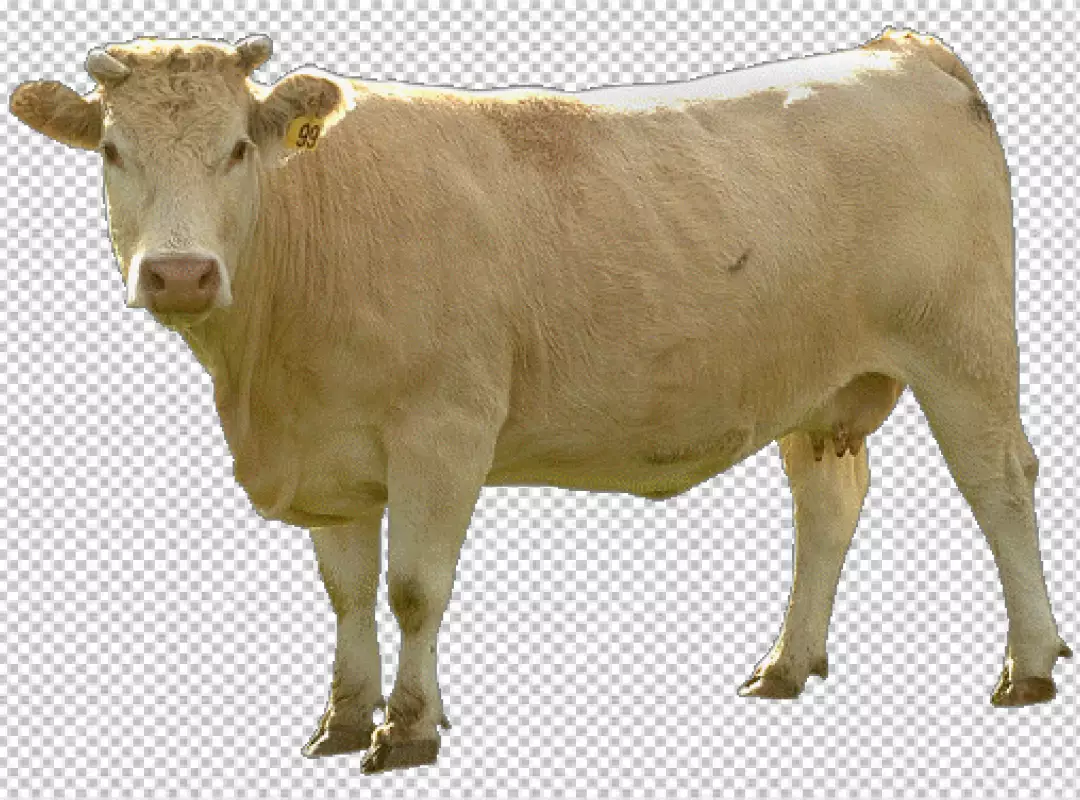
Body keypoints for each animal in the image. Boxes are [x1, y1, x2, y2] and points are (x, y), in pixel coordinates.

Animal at [10, 27, 1070, 773]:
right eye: (111, 150)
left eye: (237, 149)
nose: (180, 274)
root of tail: (901, 49)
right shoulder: (332, 451)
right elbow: (347, 592)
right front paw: (343, 720)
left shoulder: (442, 431)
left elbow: (413, 588)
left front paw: (410, 730)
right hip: (818, 380)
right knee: (829, 504)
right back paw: (786, 662)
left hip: (965, 349)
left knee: (1000, 486)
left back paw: (1028, 665)